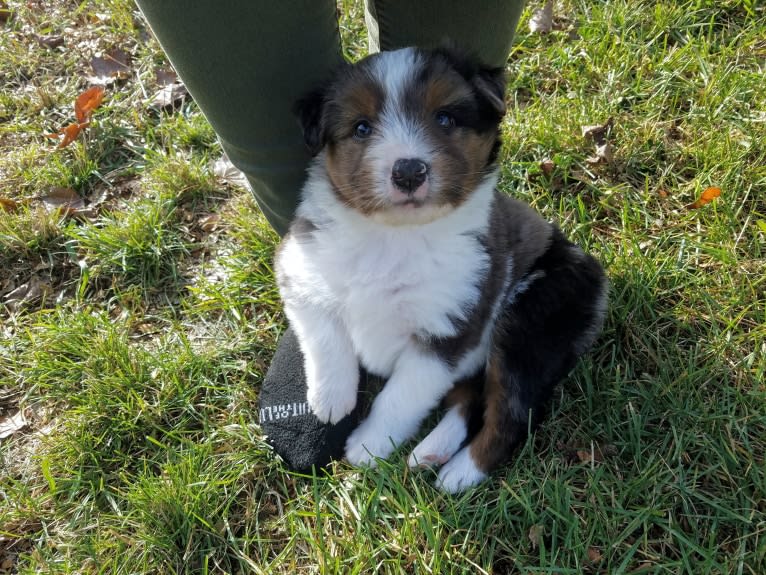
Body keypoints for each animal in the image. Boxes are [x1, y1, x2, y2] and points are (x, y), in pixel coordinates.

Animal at [276, 47, 608, 492]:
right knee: (472, 396)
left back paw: (462, 471)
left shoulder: (448, 330)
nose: (409, 171)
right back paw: (431, 450)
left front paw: (368, 445)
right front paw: (330, 399)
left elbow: (400, 396)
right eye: (361, 128)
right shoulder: (300, 269)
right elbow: (325, 336)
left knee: (510, 413)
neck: (393, 237)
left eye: (445, 119)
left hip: (529, 318)